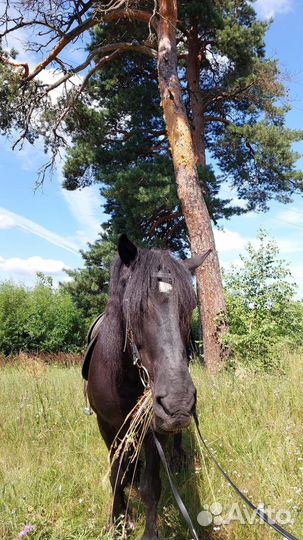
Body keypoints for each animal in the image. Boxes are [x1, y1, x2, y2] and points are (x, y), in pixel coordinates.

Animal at [84, 236, 210, 540]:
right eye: (134, 307)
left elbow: (151, 486)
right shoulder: (106, 425)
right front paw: (118, 521)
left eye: (190, 307)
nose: (178, 404)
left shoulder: (155, 428)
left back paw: (176, 459)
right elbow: (115, 473)